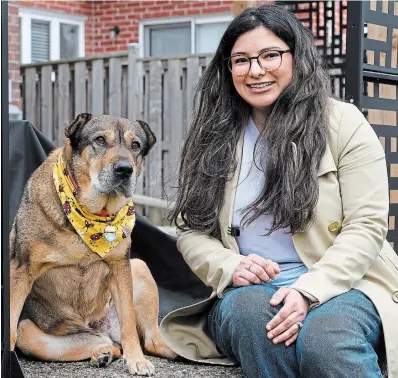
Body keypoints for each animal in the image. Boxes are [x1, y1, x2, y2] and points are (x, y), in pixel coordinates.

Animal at [10, 113, 176, 376]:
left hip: (139, 267)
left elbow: (129, 321)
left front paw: (137, 361)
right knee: (110, 345)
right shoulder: (21, 270)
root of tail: (101, 329)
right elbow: (8, 328)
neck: (93, 214)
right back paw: (103, 354)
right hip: (32, 333)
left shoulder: (120, 267)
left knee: (149, 341)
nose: (124, 169)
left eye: (136, 145)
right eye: (99, 140)